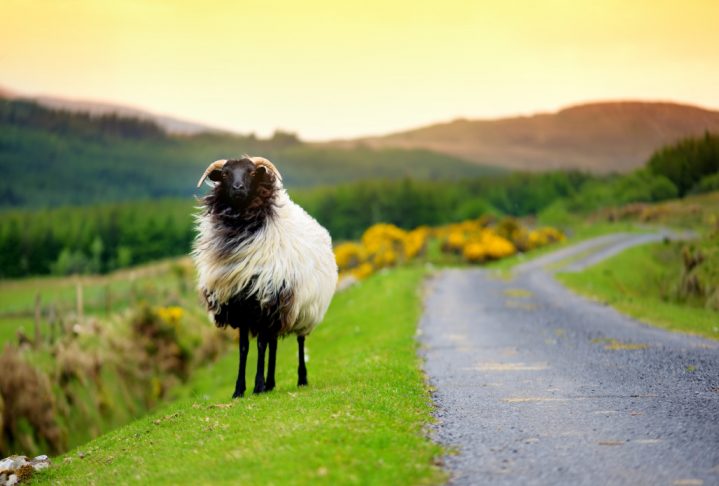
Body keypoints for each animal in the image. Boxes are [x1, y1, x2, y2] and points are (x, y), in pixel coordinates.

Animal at [191, 156, 338, 398]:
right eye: (225, 174)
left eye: (251, 173)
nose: (238, 188)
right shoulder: (240, 305)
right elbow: (244, 348)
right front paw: (240, 389)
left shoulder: (264, 302)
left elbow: (260, 345)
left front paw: (258, 386)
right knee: (274, 343)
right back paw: (271, 383)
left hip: (304, 308)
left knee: (299, 341)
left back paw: (301, 379)